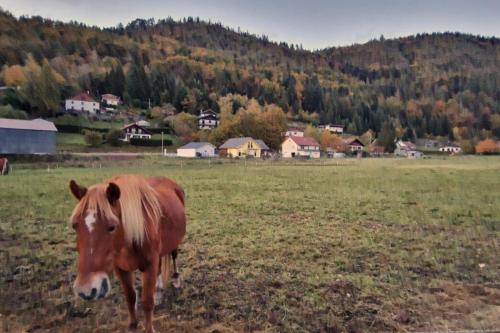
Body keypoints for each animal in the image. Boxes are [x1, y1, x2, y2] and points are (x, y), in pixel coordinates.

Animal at [69, 175, 188, 330]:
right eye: (75, 225)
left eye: (112, 227)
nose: (86, 290)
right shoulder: (121, 269)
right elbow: (130, 297)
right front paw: (133, 325)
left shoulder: (149, 266)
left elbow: (147, 302)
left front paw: (149, 328)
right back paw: (158, 292)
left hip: (174, 243)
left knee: (174, 256)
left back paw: (176, 280)